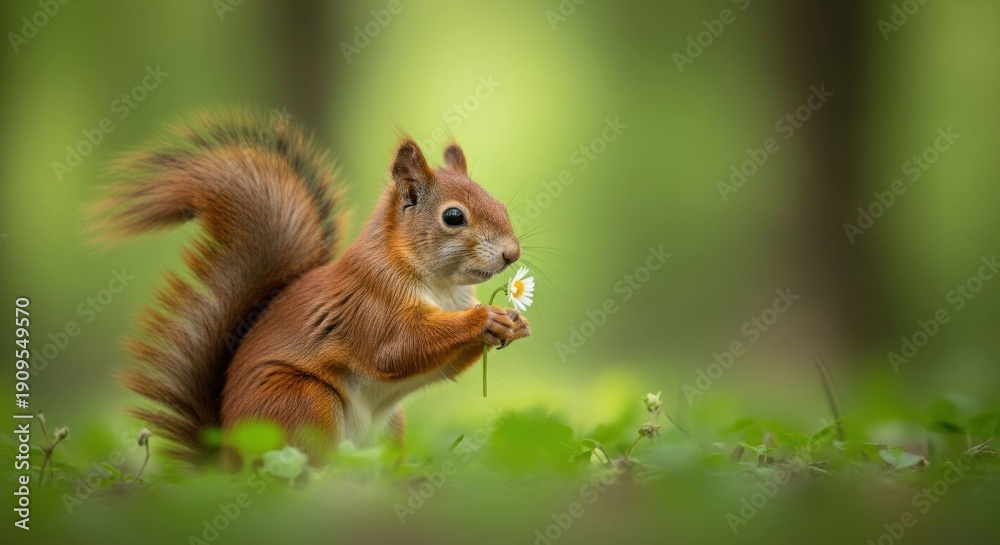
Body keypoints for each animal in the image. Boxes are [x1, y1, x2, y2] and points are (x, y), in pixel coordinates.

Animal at [93, 108, 530, 467]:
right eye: (453, 216)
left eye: (499, 204)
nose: (512, 253)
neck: (442, 286)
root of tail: (226, 460)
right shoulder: (370, 306)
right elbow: (397, 350)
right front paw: (484, 319)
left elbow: (445, 366)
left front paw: (515, 323)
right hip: (303, 402)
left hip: (388, 430)